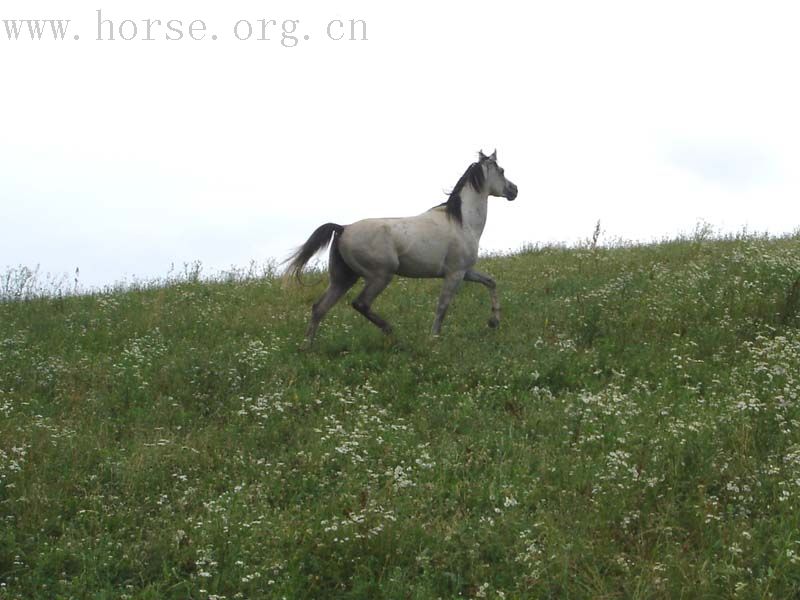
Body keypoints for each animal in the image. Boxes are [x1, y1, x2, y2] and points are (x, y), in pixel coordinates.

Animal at [286, 150, 520, 344]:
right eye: (501, 170)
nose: (514, 190)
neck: (462, 221)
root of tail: (343, 228)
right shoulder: (455, 273)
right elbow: (442, 306)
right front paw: (434, 338)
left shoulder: (466, 271)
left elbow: (491, 282)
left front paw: (494, 322)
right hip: (380, 276)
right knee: (360, 303)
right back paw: (391, 331)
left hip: (343, 279)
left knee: (319, 308)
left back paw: (307, 347)